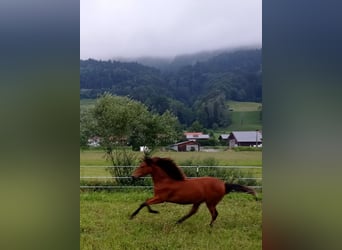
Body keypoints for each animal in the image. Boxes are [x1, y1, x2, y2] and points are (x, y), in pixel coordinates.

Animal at [130, 157, 258, 226]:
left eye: (142, 166)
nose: (132, 176)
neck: (166, 181)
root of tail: (224, 184)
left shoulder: (161, 198)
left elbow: (145, 203)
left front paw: (150, 212)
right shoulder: (158, 197)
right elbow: (144, 202)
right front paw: (134, 215)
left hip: (210, 202)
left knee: (214, 214)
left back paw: (209, 227)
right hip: (199, 201)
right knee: (193, 212)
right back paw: (178, 222)